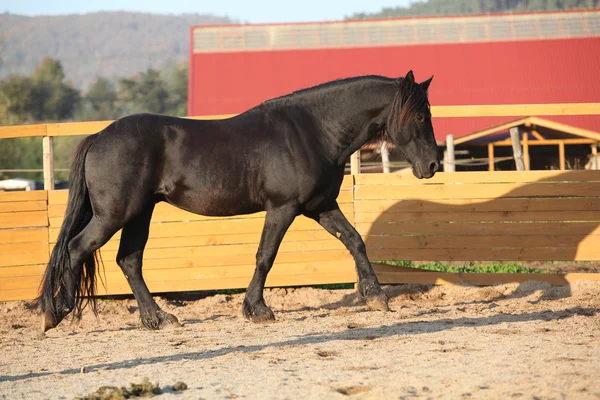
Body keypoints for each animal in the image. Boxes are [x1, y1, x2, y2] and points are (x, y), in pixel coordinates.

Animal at [38, 71, 440, 332]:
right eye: (421, 115)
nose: (433, 164)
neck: (312, 130)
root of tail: (99, 136)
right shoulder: (283, 208)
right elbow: (265, 256)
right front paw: (257, 310)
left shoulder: (320, 207)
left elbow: (355, 241)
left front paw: (376, 297)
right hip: (115, 215)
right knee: (76, 249)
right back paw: (57, 313)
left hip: (139, 214)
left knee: (129, 261)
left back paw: (158, 319)